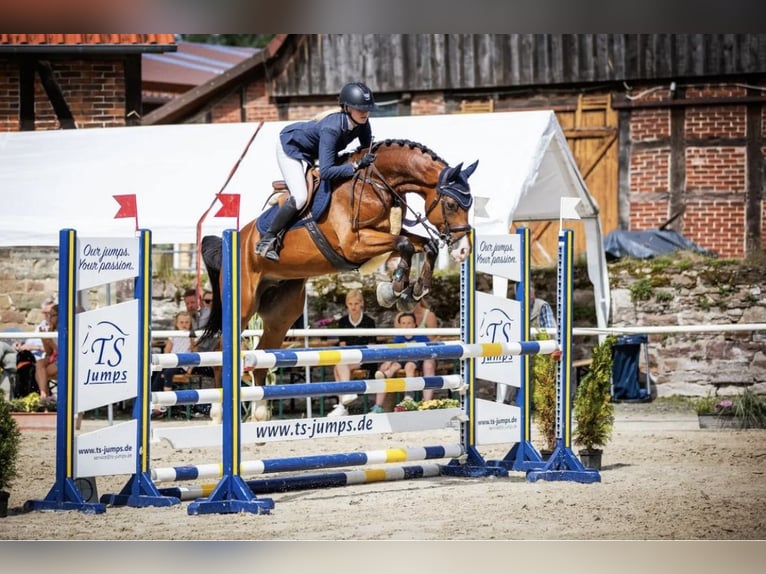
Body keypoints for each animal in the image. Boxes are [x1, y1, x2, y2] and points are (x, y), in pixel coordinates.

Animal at [202, 140, 480, 418]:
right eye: (451, 205)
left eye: (470, 204)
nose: (463, 250)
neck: (375, 183)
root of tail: (233, 242)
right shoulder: (354, 245)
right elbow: (405, 244)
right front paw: (395, 288)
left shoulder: (382, 235)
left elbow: (424, 245)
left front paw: (412, 292)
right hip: (244, 304)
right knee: (219, 351)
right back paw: (217, 410)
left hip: (281, 314)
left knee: (261, 357)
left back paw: (260, 412)